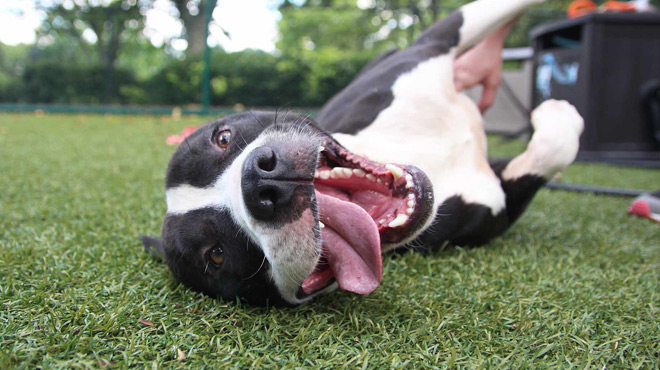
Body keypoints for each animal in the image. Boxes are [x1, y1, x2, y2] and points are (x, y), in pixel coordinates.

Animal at [142, 0, 584, 306]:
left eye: (223, 138)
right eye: (215, 256)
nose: (260, 180)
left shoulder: (436, 42)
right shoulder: (496, 204)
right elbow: (554, 148)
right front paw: (557, 115)